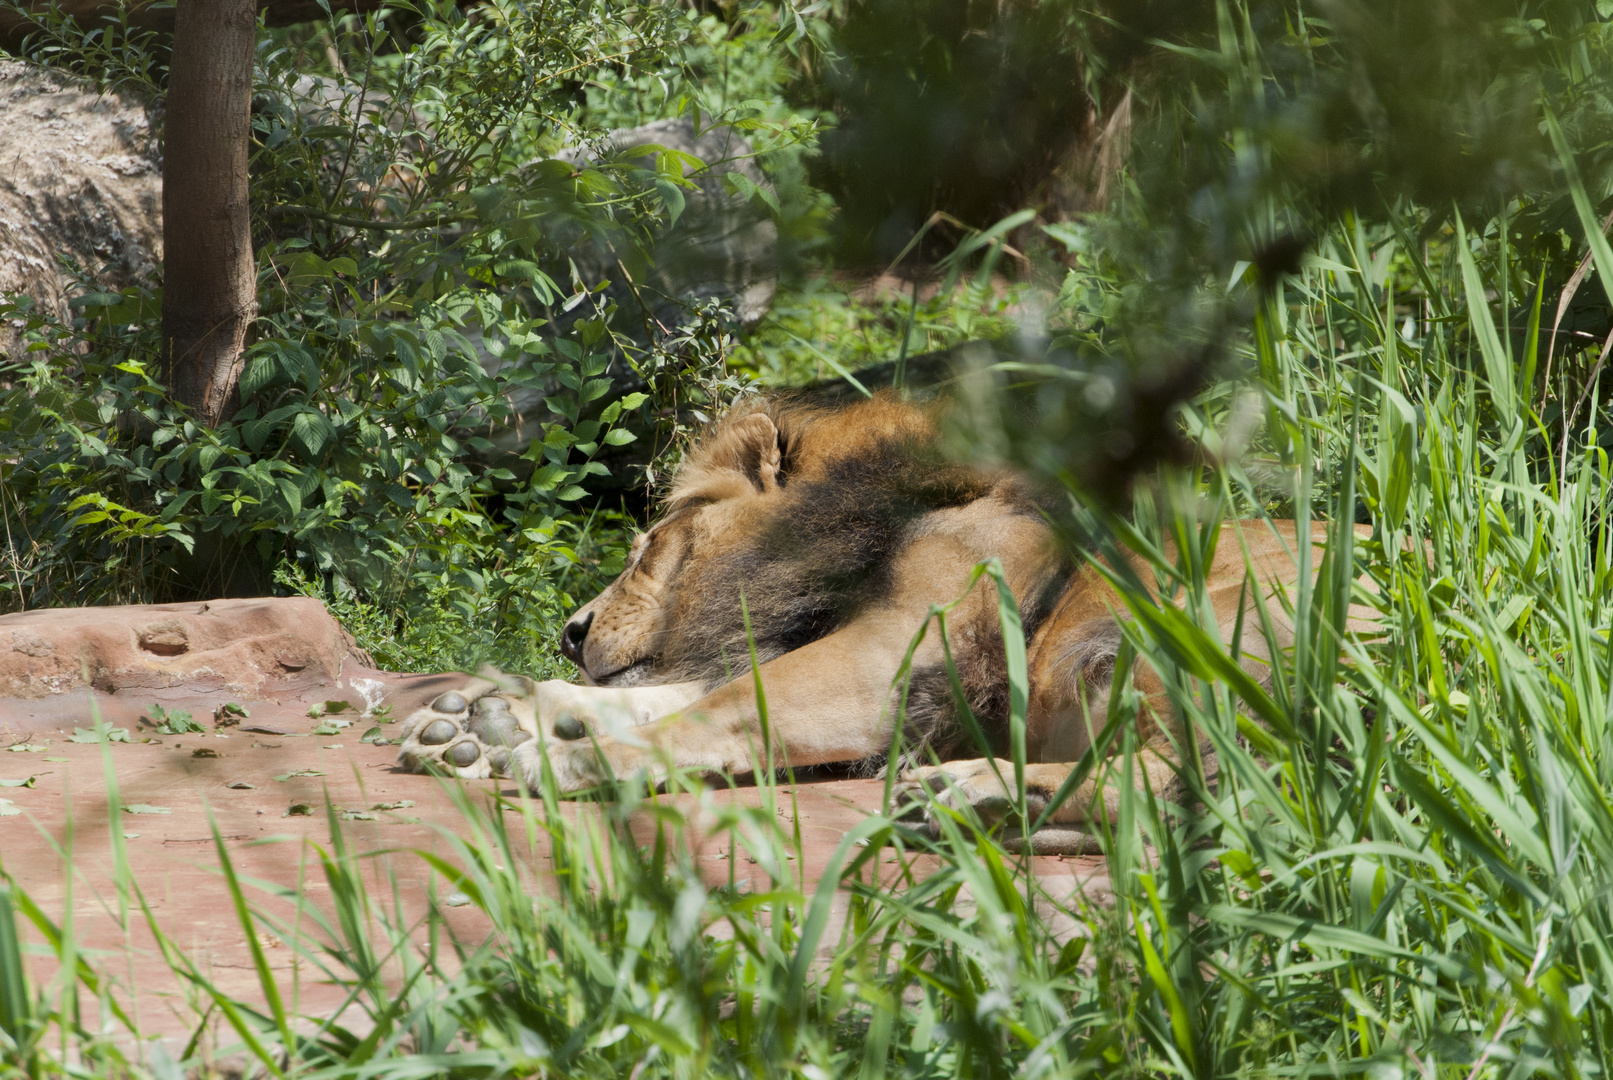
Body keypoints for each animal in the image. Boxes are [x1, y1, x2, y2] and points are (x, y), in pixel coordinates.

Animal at [396, 393, 1342, 851]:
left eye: (647, 546)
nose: (570, 630)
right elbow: (680, 695)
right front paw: (481, 719)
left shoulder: (893, 656)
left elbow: (716, 709)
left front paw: (551, 757)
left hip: (1193, 622)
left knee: (1201, 779)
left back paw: (970, 794)